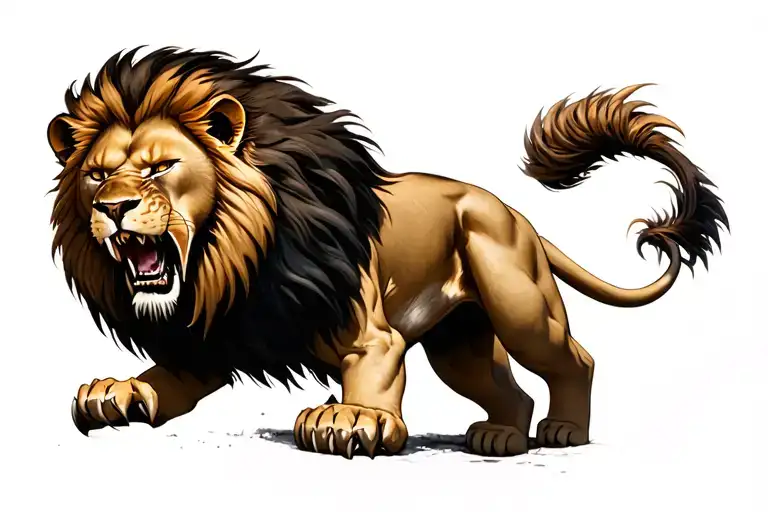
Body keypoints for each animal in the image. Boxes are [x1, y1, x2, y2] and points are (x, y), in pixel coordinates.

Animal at [47, 47, 728, 458]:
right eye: (97, 176)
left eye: (160, 168)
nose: (111, 207)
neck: (237, 259)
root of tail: (518, 215)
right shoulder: (223, 337)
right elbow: (168, 379)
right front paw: (116, 391)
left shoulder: (367, 332)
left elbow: (373, 369)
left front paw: (348, 420)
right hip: (460, 344)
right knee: (508, 389)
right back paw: (501, 436)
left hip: (519, 302)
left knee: (575, 359)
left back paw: (565, 431)